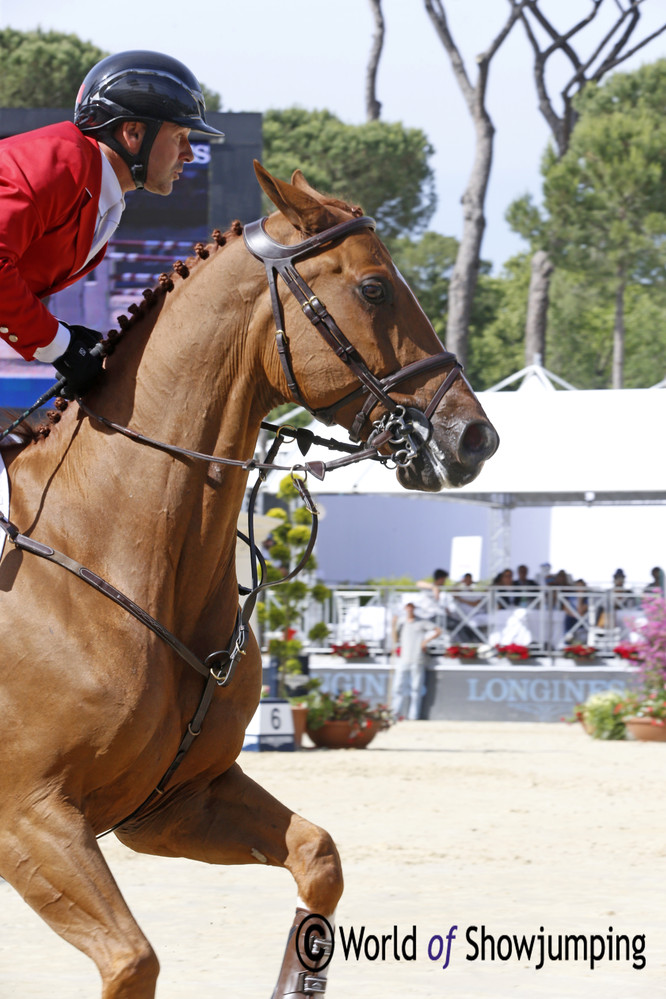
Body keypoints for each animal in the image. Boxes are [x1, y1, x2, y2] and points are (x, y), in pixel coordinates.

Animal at [0, 160, 496, 996]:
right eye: (374, 289)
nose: (475, 437)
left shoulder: (175, 805)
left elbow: (318, 857)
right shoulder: (30, 815)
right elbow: (132, 961)